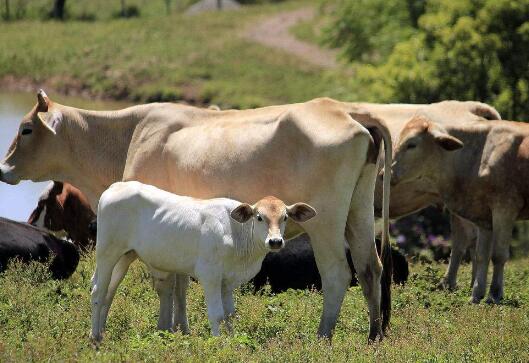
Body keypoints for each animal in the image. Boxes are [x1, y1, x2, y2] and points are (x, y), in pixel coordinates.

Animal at [89, 182, 318, 344]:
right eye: (259, 217)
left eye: (285, 217)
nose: (275, 241)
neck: (235, 233)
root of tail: (116, 186)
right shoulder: (210, 277)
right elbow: (216, 315)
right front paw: (219, 344)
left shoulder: (228, 282)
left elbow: (229, 314)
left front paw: (232, 340)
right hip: (107, 252)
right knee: (98, 292)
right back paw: (95, 338)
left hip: (125, 256)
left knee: (109, 292)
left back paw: (101, 333)